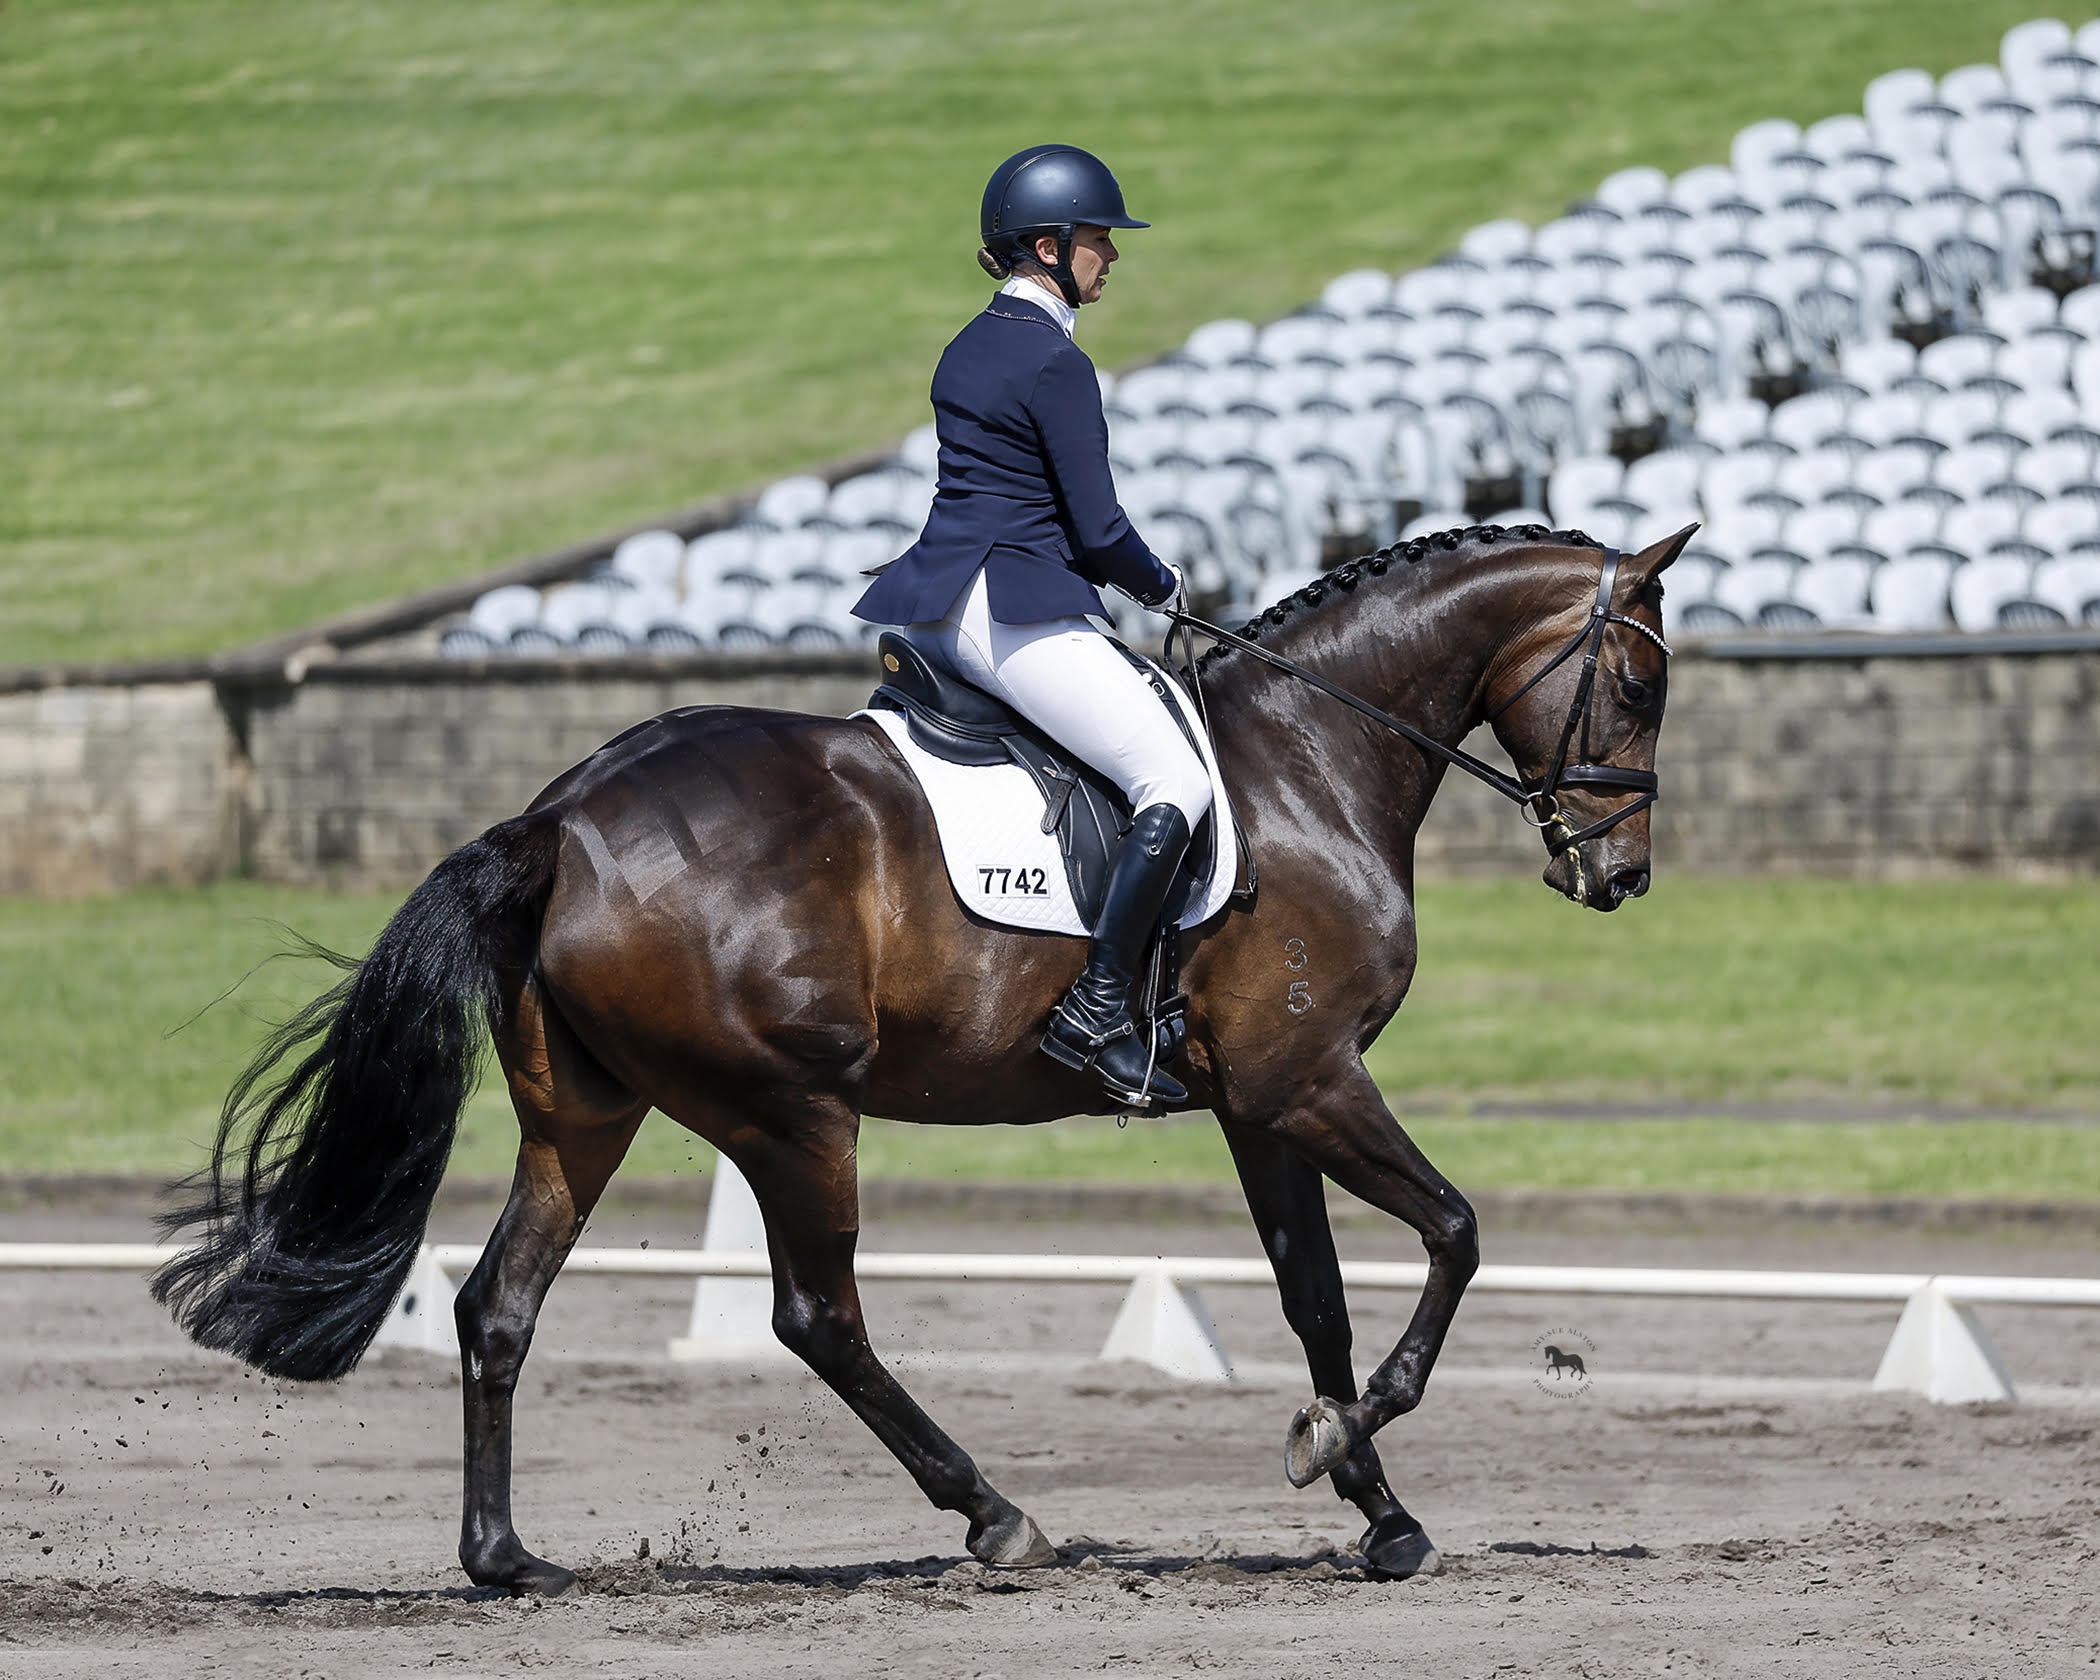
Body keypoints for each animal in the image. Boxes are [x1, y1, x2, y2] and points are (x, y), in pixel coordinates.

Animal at [152, 520, 1688, 1587]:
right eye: (1638, 681)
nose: (1617, 875)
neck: (1311, 761)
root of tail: (561, 821)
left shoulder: (1261, 1105)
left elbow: (1317, 1303)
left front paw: (1374, 1504)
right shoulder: (1308, 1081)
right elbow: (1455, 1233)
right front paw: (1351, 1449)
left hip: (587, 1115)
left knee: (497, 1308)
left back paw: (507, 1559)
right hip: (792, 1112)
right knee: (818, 1318)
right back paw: (996, 1517)